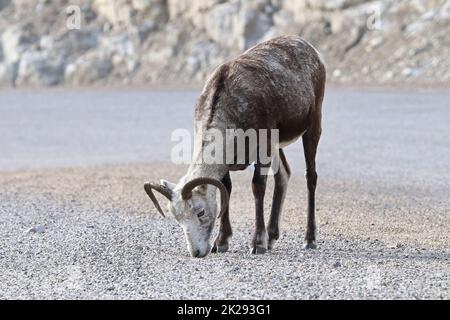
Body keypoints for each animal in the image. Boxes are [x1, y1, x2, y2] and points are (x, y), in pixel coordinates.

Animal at [146, 36, 326, 258]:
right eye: (177, 217)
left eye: (200, 212)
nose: (197, 252)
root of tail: (311, 49)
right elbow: (227, 189)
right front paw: (221, 243)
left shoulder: (262, 149)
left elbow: (258, 187)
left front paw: (257, 244)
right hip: (277, 146)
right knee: (283, 174)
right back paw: (272, 237)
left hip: (312, 126)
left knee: (311, 177)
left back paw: (309, 240)